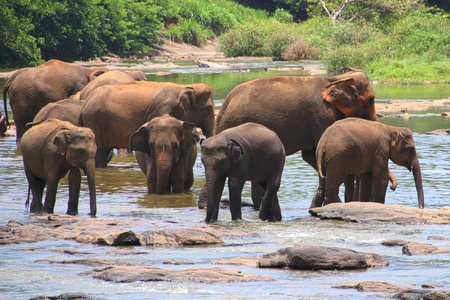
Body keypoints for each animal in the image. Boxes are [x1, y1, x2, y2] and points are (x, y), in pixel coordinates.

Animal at [81, 81, 215, 168]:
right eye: (208, 109)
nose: (202, 139)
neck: (183, 87)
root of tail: (85, 103)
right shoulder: (162, 110)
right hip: (95, 120)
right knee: (100, 154)